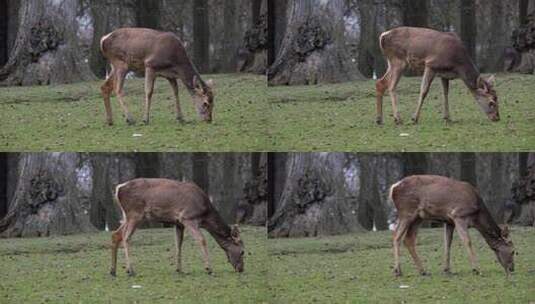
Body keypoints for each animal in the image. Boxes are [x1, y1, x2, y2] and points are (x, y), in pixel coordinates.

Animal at [111, 177, 245, 276]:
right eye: (243, 251)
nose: (241, 269)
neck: (205, 215)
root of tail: (118, 189)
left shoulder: (178, 223)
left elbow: (178, 244)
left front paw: (179, 269)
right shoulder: (188, 217)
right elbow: (201, 239)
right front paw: (209, 268)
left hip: (127, 216)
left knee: (116, 234)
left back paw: (113, 271)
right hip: (135, 214)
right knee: (126, 237)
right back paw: (130, 270)